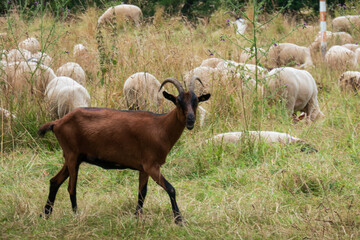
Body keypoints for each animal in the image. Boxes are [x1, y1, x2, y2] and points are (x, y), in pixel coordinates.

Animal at [38, 76, 210, 224]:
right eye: (178, 102)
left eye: (196, 101)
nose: (190, 120)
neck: (161, 127)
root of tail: (57, 123)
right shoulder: (151, 166)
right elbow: (171, 189)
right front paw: (179, 220)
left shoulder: (144, 168)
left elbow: (142, 193)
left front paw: (137, 217)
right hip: (72, 156)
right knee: (71, 187)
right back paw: (76, 216)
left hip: (72, 157)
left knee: (54, 181)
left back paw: (46, 214)